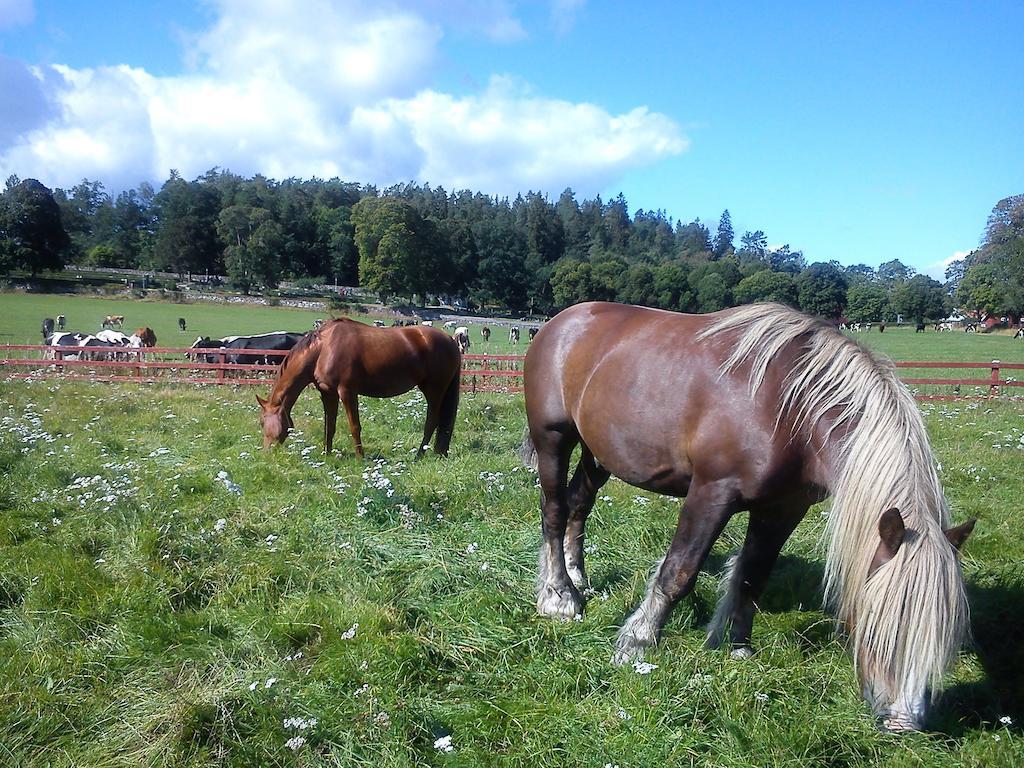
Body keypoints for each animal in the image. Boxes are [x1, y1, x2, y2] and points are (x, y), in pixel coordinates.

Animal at [258, 317, 462, 460]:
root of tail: (451, 340)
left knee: (432, 421)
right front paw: (327, 454)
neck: (323, 349)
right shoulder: (327, 393)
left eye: (262, 422)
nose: (267, 453)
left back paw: (419, 455)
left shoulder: (347, 392)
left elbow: (354, 426)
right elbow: (329, 425)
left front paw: (359, 457)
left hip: (435, 390)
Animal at [528, 301, 974, 733]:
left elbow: (753, 575)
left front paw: (737, 645)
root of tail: (561, 321)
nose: (903, 724)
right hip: (553, 440)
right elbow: (679, 571)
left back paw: (579, 576)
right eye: (885, 623)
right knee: (555, 511)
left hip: (597, 452)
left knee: (579, 504)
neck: (793, 407)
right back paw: (559, 596)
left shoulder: (783, 508)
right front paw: (637, 640)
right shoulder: (711, 492)